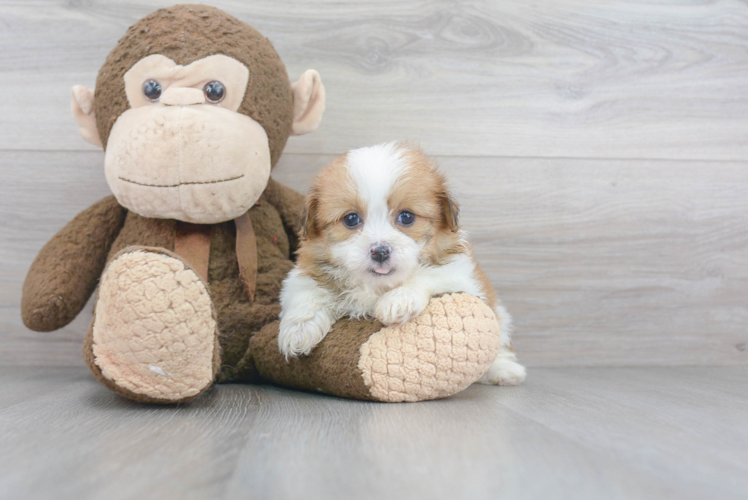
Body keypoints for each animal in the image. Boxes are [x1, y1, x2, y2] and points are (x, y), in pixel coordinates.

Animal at [276, 143, 524, 384]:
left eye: (406, 217)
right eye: (351, 219)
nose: (380, 251)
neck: (377, 286)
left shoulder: (459, 274)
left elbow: (428, 275)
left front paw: (398, 300)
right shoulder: (304, 271)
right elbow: (306, 291)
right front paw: (298, 329)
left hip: (500, 316)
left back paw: (504, 370)